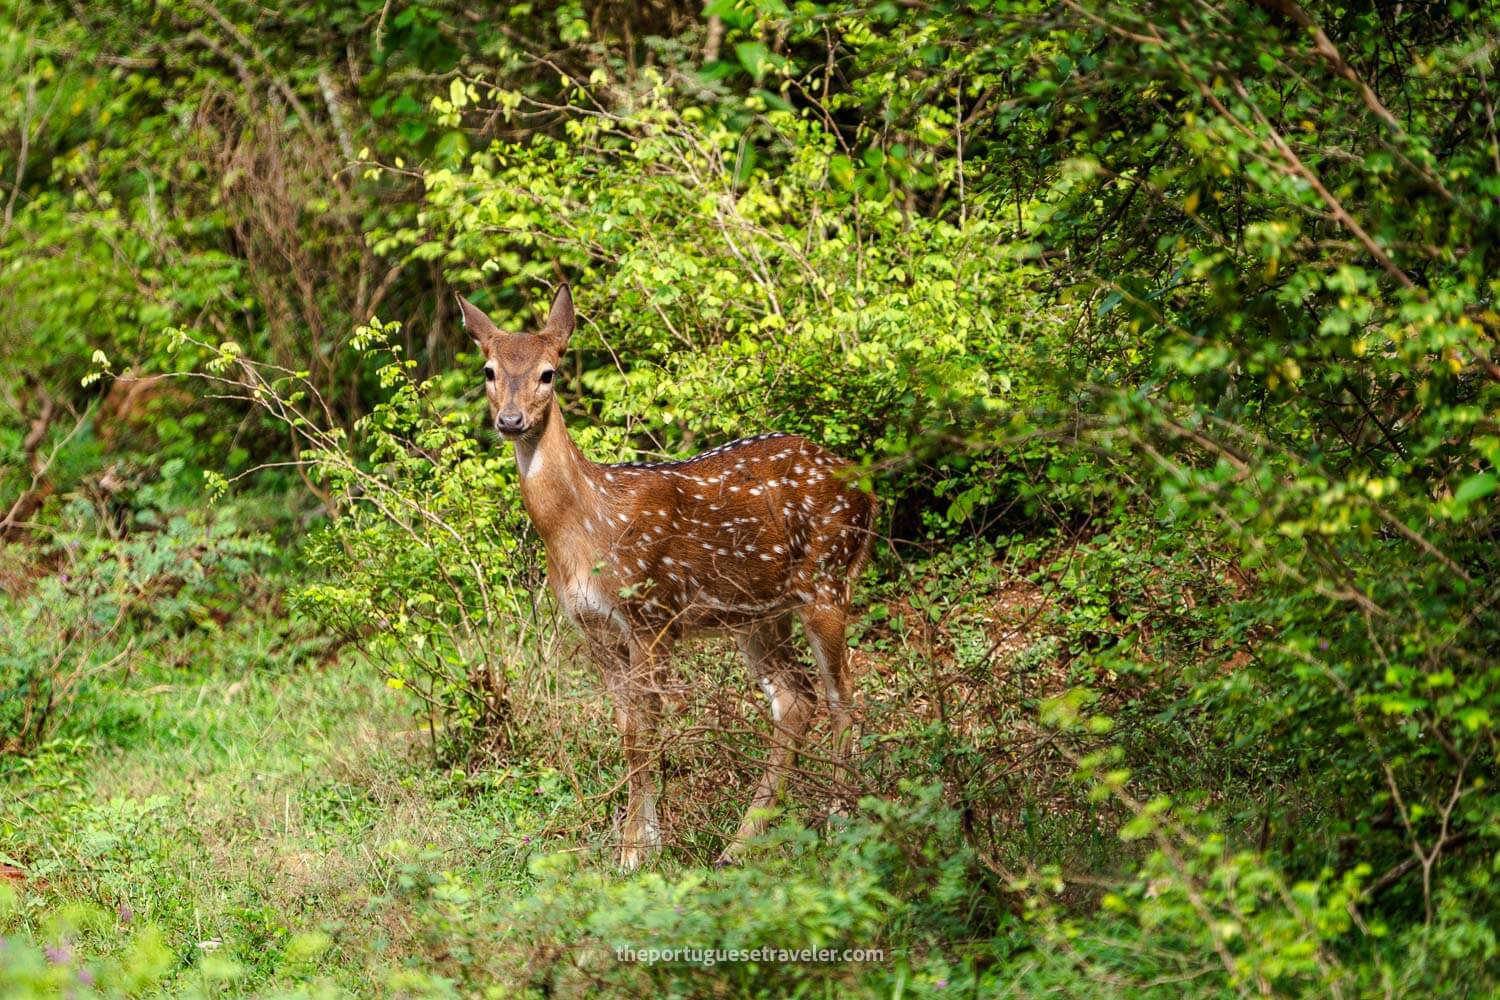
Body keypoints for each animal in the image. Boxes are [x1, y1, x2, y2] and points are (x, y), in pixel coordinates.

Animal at [462, 283, 876, 869]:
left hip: (829, 578)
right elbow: (626, 730)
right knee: (796, 699)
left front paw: (636, 853)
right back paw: (740, 843)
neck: (585, 527)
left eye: (548, 373)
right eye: (489, 370)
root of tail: (868, 491)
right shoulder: (593, 628)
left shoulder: (650, 614)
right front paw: (639, 846)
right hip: (757, 613)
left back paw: (840, 821)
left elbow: (645, 730)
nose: (511, 421)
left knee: (844, 697)